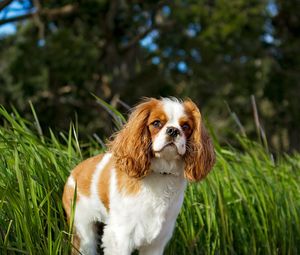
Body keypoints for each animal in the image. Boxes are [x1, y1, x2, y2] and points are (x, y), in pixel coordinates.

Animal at [62, 96, 214, 254]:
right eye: (156, 123)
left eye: (185, 126)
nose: (173, 130)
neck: (161, 173)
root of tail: (74, 172)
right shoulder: (120, 237)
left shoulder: (157, 243)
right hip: (83, 231)